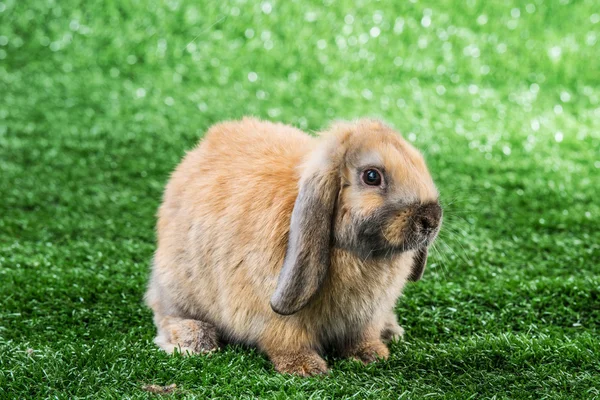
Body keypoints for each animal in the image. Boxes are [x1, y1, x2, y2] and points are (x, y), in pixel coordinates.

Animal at [146, 117, 442, 376]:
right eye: (372, 176)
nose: (431, 218)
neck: (363, 255)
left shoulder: (367, 316)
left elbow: (362, 336)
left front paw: (372, 355)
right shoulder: (278, 316)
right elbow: (287, 339)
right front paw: (305, 368)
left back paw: (391, 331)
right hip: (178, 285)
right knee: (165, 313)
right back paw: (196, 340)